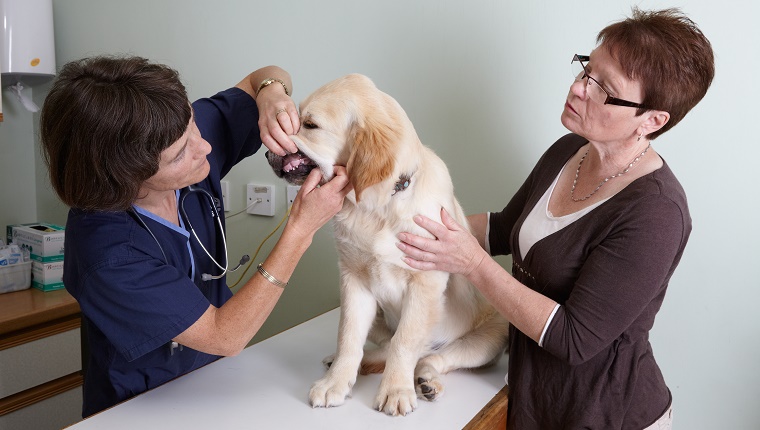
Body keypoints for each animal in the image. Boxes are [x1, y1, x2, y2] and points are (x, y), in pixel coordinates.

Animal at [264, 74, 508, 416]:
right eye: (294, 117)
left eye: (310, 124)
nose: (266, 152)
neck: (376, 208)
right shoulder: (353, 280)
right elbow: (348, 337)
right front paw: (335, 383)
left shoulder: (425, 280)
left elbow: (405, 342)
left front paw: (395, 390)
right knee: (385, 347)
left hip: (494, 333)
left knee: (430, 357)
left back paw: (426, 382)